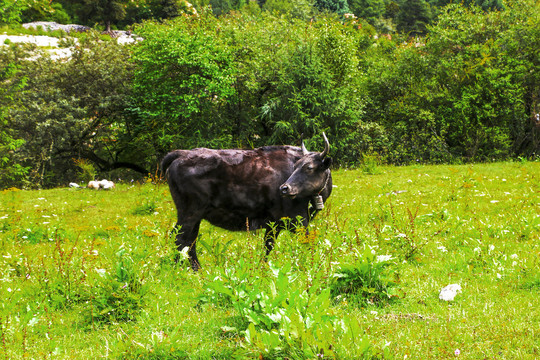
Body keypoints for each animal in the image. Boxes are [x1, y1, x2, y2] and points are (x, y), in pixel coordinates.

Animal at [160, 134, 332, 268]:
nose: (284, 188)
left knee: (190, 242)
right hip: (190, 212)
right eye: (295, 166)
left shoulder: (274, 224)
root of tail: (182, 154)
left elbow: (267, 246)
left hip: (196, 216)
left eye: (309, 168)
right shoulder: (298, 220)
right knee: (181, 239)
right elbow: (307, 243)